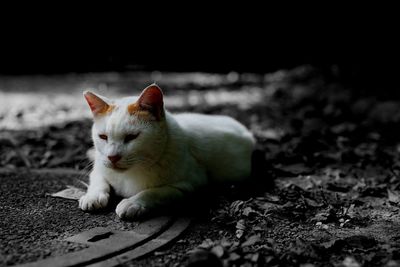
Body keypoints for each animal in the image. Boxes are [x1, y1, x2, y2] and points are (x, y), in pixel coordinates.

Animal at [78, 85, 255, 221]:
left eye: (131, 137)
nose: (112, 157)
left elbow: (154, 192)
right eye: (103, 137)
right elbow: (98, 180)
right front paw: (92, 196)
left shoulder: (188, 185)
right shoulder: (99, 166)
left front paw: (133, 203)